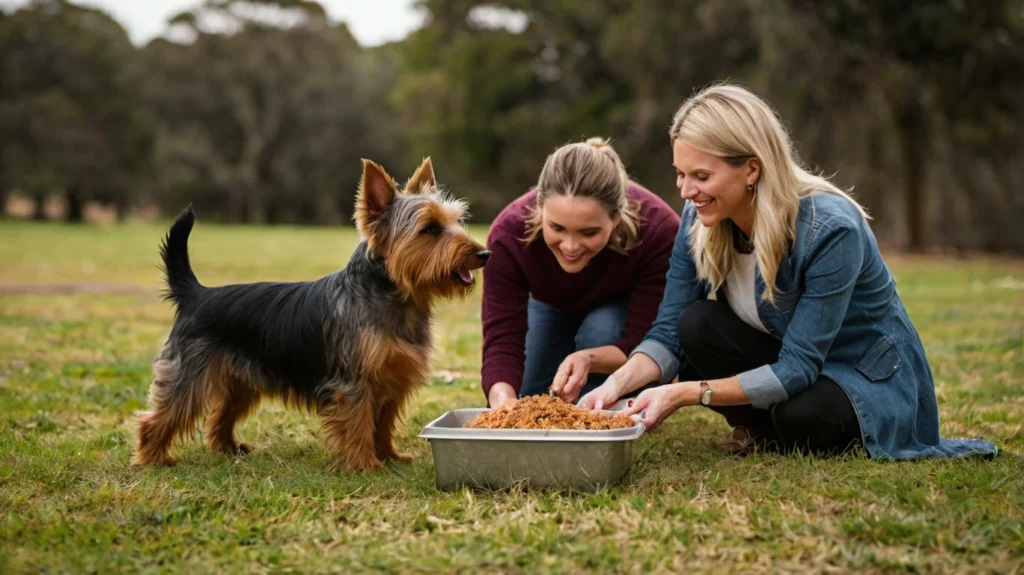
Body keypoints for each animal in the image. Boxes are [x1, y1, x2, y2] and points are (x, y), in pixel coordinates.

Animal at [130, 157, 489, 470]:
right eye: (430, 229)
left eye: (458, 222)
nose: (483, 253)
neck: (395, 296)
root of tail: (197, 294)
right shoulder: (354, 384)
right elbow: (359, 424)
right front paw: (366, 465)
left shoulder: (393, 379)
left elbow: (384, 422)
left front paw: (389, 456)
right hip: (189, 378)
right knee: (159, 418)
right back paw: (153, 459)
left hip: (240, 382)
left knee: (219, 418)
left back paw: (229, 448)